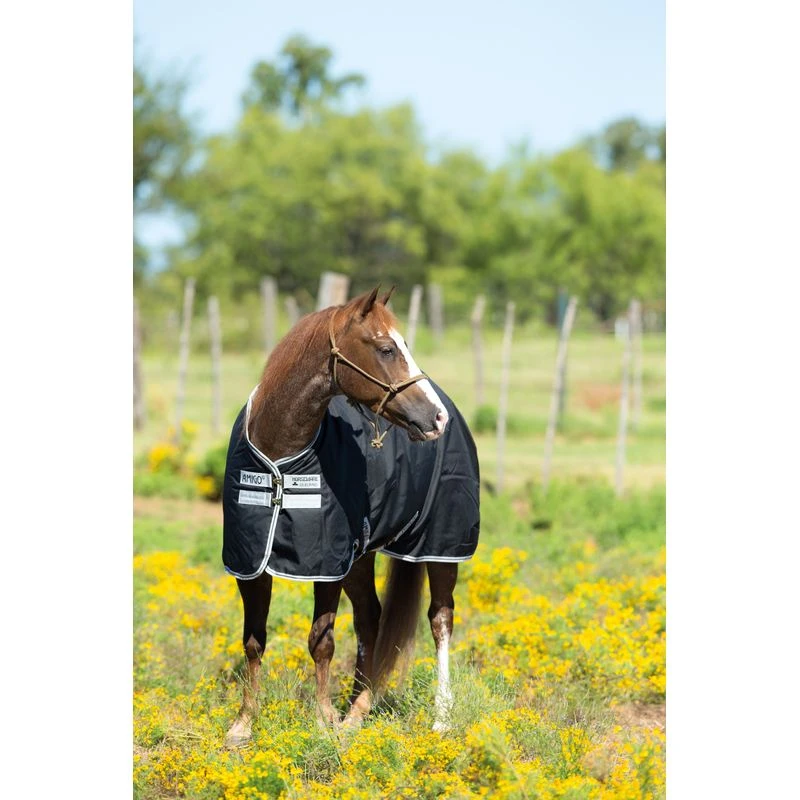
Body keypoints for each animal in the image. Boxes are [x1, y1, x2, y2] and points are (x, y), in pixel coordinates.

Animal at [222, 286, 480, 746]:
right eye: (386, 348)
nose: (436, 417)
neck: (280, 458)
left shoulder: (325, 566)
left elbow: (321, 641)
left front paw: (323, 721)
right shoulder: (250, 564)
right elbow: (253, 641)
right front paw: (243, 725)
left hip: (440, 547)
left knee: (440, 619)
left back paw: (441, 717)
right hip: (360, 557)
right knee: (370, 619)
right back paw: (357, 712)